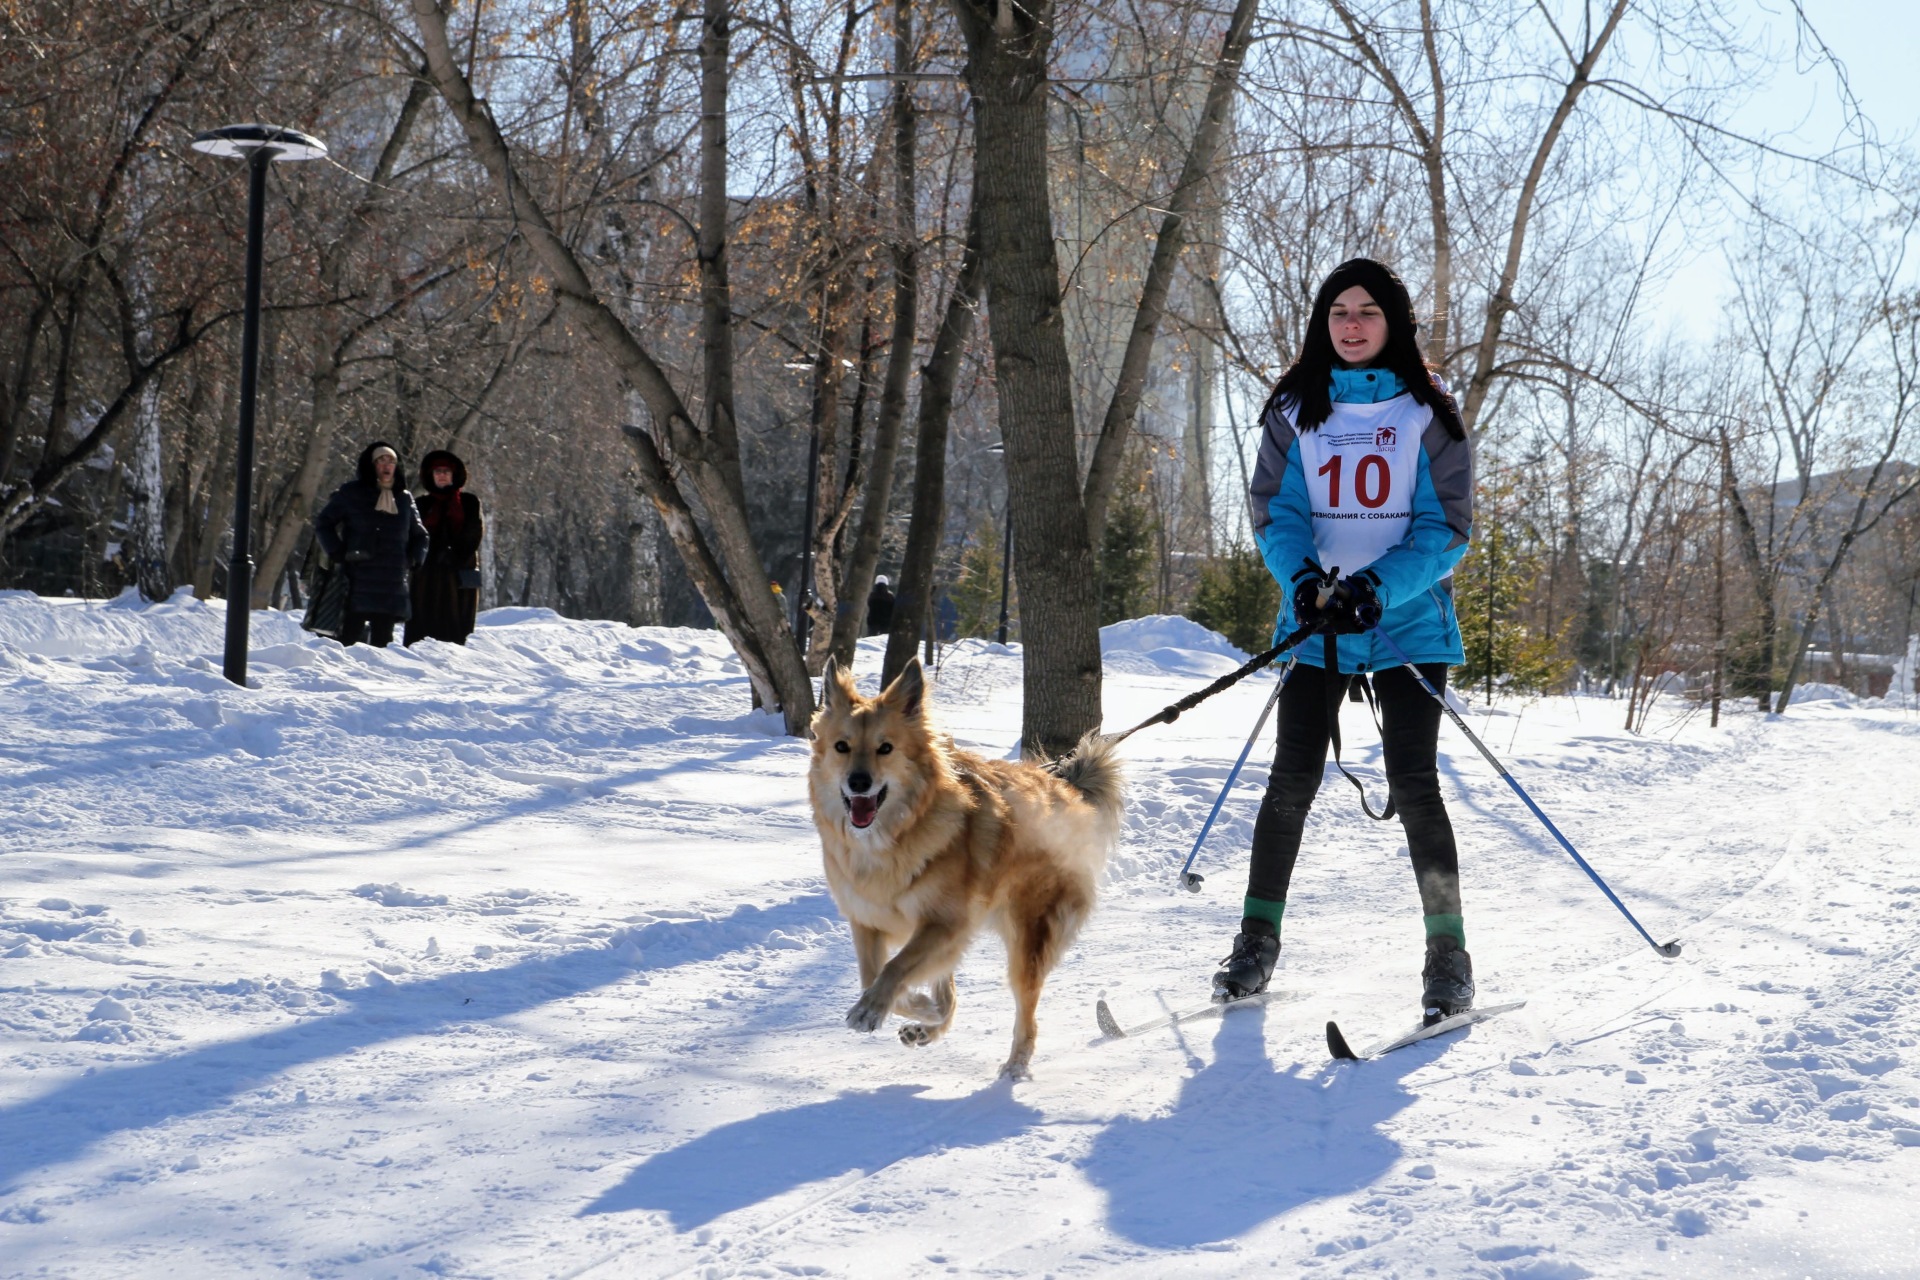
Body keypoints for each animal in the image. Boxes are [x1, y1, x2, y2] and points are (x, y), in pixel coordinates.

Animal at [807, 656, 1124, 1080]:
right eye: (842, 747)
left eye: (885, 748)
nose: (859, 782)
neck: (893, 836)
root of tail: (1067, 789)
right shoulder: (868, 921)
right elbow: (873, 975)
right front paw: (915, 1006)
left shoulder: (944, 922)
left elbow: (896, 967)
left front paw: (875, 1008)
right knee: (949, 990)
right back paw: (929, 1025)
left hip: (1028, 937)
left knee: (1027, 1014)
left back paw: (1015, 1065)